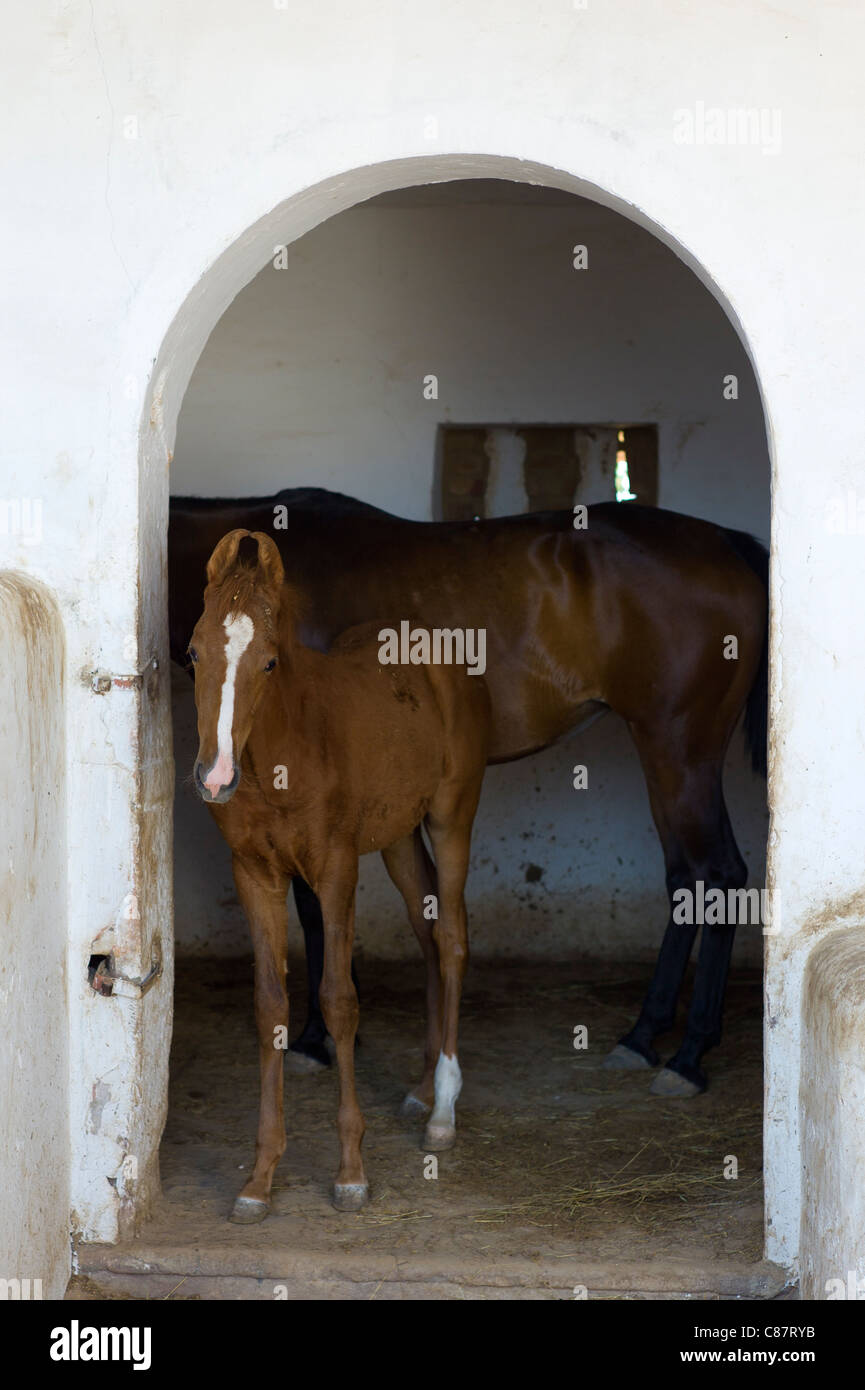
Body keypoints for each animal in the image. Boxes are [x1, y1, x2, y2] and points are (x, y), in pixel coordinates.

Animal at [170, 487, 768, 1097]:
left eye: (267, 663)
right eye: (195, 653)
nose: (212, 773)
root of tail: (728, 544)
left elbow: (316, 915)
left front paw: (317, 1039)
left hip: (678, 749)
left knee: (716, 873)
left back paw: (687, 1054)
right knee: (688, 877)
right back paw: (646, 1035)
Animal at [188, 528, 490, 1221]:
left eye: (270, 662)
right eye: (191, 654)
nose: (215, 777)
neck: (282, 754)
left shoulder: (335, 870)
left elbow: (339, 1000)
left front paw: (352, 1171)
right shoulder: (255, 874)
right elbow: (270, 1003)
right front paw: (260, 1178)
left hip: (451, 817)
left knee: (453, 938)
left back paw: (442, 1110)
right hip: (400, 838)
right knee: (427, 931)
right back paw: (420, 1086)